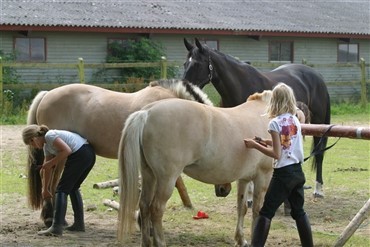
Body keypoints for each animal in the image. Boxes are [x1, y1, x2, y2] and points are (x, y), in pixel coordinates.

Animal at [118, 90, 274, 247]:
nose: (223, 190)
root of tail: (147, 112)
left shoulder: (244, 179)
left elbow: (242, 208)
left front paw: (241, 239)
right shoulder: (263, 176)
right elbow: (257, 211)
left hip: (149, 175)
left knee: (144, 205)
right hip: (167, 179)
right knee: (156, 209)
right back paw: (161, 242)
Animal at [184, 38, 330, 199]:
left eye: (197, 64)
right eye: (185, 63)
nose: (185, 86)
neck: (241, 84)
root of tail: (317, 76)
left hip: (319, 123)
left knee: (319, 154)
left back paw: (318, 189)